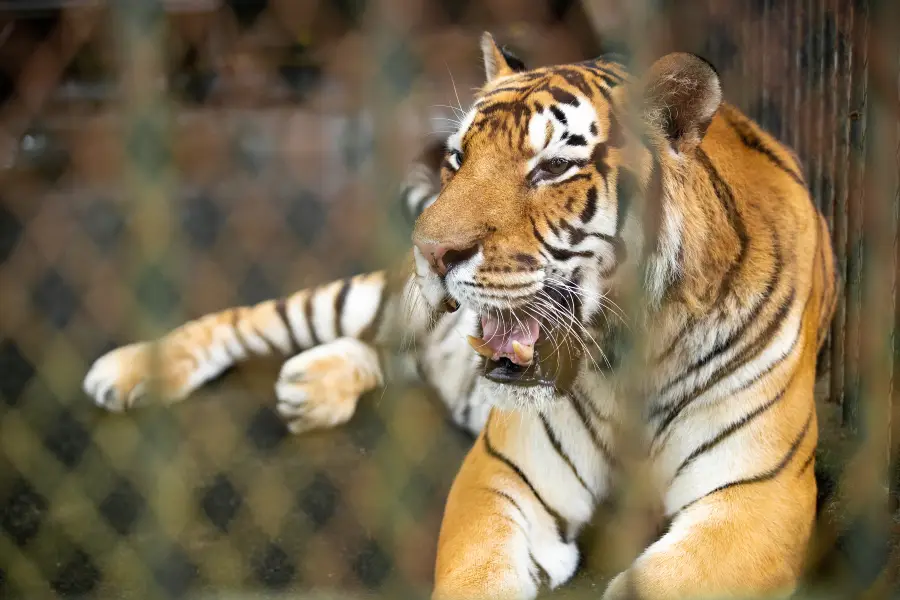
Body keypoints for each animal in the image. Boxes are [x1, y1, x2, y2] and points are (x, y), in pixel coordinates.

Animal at [82, 34, 836, 600]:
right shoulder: (503, 472)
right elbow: (476, 574)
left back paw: (311, 388)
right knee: (251, 319)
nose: (431, 250)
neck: (632, 352)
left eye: (553, 167)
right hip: (374, 298)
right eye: (456, 158)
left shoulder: (758, 499)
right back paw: (128, 371)